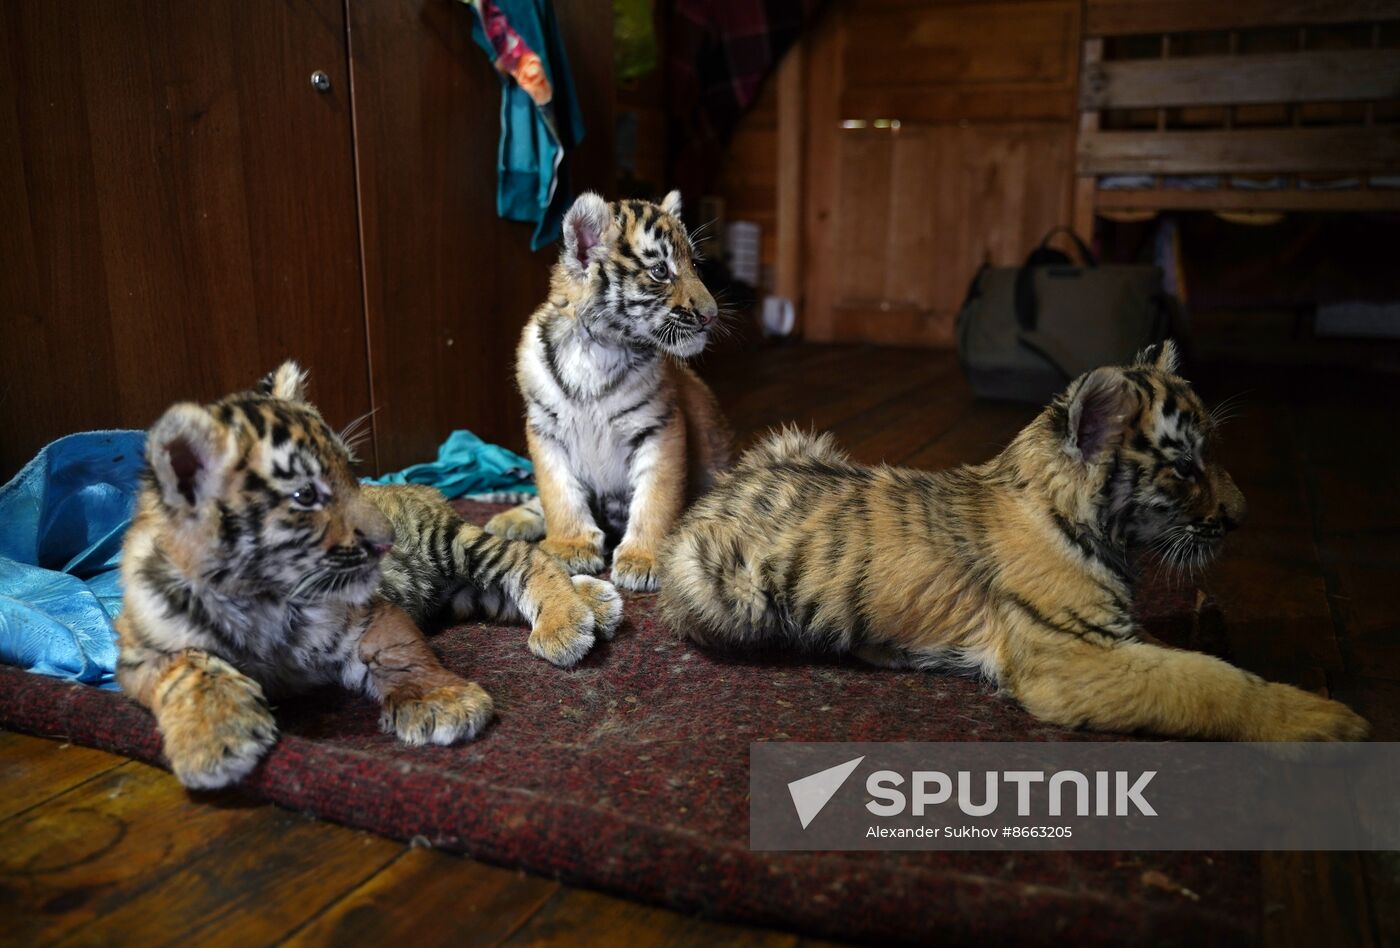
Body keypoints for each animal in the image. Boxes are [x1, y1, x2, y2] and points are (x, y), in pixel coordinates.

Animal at [116, 361, 622, 789]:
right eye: (305, 495)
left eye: (351, 472)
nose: (387, 540)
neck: (261, 596)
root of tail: (426, 490)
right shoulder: (138, 654)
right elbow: (188, 669)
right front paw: (212, 740)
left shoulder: (372, 612)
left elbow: (401, 656)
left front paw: (445, 704)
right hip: (463, 592)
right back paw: (597, 606)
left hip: (450, 545)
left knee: (527, 557)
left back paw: (568, 623)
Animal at [483, 190, 732, 593]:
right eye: (660, 271)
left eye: (694, 264)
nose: (711, 316)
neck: (599, 347)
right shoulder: (544, 430)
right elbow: (557, 493)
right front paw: (570, 546)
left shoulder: (659, 427)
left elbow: (656, 498)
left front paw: (644, 560)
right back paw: (510, 520)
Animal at [657, 342, 1369, 741]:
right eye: (1187, 467)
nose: (1242, 516)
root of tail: (718, 494)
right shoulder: (1073, 657)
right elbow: (1204, 681)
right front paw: (1329, 721)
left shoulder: (1110, 637)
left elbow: (1182, 659)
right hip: (728, 589)